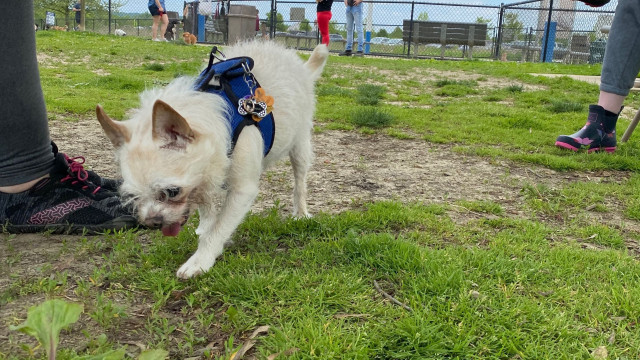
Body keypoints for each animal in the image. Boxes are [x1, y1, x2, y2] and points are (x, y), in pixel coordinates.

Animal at [97, 41, 328, 278]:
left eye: (172, 191)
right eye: (133, 196)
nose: (153, 222)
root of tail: (300, 67)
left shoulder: (242, 190)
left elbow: (220, 226)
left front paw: (200, 259)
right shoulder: (202, 178)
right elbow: (208, 211)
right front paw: (206, 232)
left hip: (300, 146)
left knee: (300, 182)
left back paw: (301, 212)